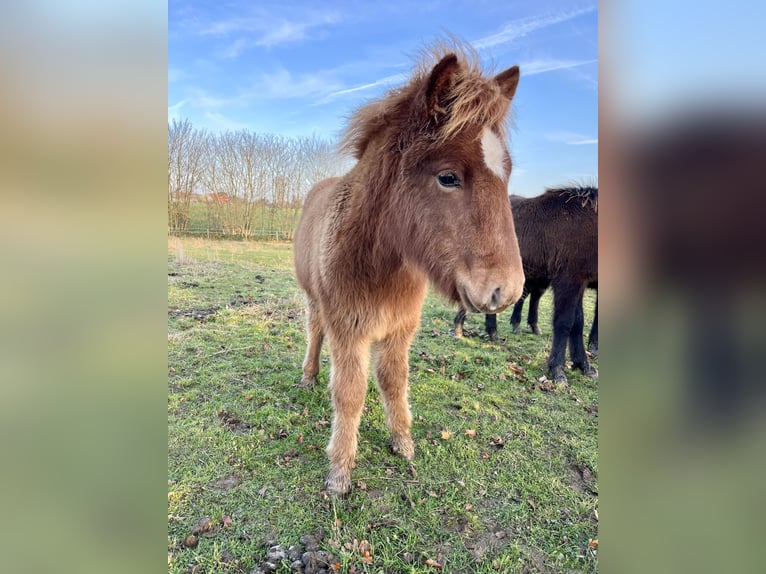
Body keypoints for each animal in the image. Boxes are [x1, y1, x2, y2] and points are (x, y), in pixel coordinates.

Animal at [293, 42, 525, 496]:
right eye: (448, 177)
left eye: (506, 174)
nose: (505, 291)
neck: (378, 263)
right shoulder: (348, 329)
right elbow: (349, 393)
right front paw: (339, 472)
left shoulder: (400, 330)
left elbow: (393, 380)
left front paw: (402, 442)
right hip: (315, 300)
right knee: (314, 331)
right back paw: (309, 376)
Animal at [453, 186, 598, 383]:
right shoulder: (568, 281)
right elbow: (565, 322)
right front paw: (557, 369)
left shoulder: (580, 283)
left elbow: (578, 322)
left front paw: (583, 365)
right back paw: (461, 328)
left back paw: (488, 332)